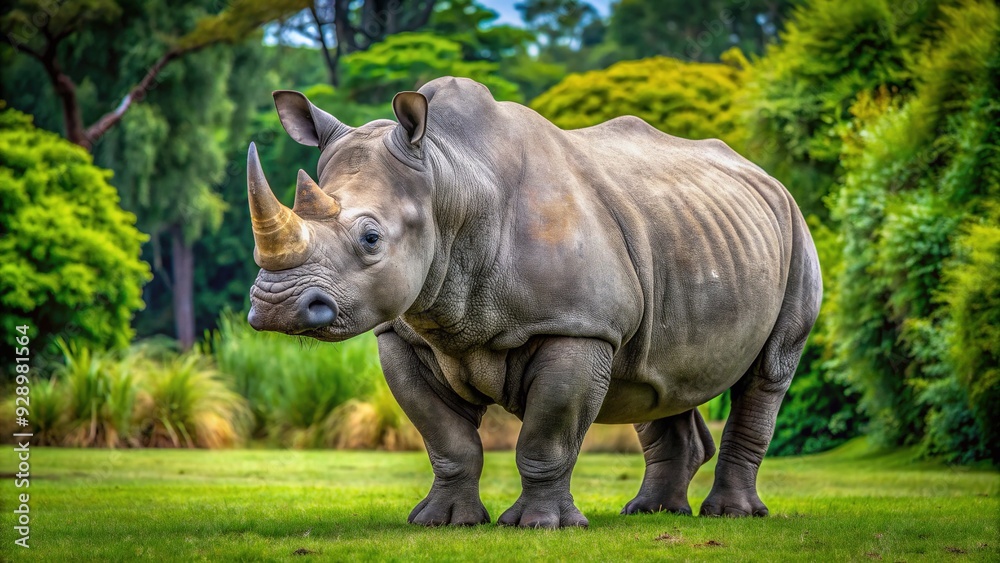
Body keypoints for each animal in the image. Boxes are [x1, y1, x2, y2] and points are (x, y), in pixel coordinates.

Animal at [246, 77, 822, 528]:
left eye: (371, 238)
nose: (276, 306)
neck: (449, 180)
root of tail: (763, 174)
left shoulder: (576, 325)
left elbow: (548, 434)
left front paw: (540, 525)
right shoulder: (405, 333)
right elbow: (447, 439)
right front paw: (443, 522)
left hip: (794, 227)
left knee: (768, 371)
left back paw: (732, 515)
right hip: (683, 233)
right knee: (654, 374)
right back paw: (652, 513)